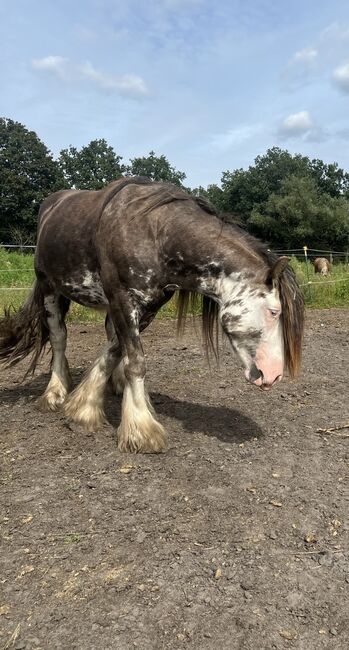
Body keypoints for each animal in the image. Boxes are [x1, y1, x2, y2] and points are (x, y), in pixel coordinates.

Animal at [0, 176, 304, 450]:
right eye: (274, 311)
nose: (274, 375)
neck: (156, 233)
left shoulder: (148, 308)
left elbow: (116, 350)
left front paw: (84, 404)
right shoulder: (123, 300)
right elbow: (135, 359)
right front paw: (140, 431)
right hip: (50, 289)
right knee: (58, 338)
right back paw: (54, 393)